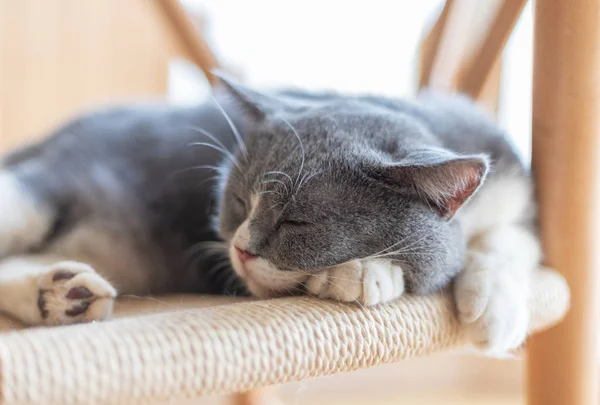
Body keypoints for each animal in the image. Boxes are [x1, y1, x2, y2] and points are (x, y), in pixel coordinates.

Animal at [0, 76, 536, 354]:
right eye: (238, 202)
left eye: (297, 222)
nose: (239, 248)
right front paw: (360, 273)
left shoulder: (513, 186)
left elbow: (512, 240)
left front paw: (495, 304)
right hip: (36, 196)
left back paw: (62, 293)